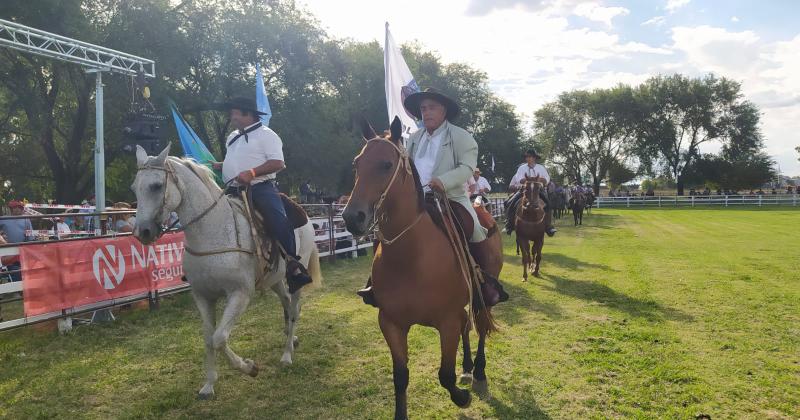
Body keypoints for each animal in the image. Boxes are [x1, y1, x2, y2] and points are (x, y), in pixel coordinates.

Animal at [132, 144, 322, 400]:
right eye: (134, 187)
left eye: (156, 186)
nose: (142, 231)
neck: (213, 232)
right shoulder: (202, 296)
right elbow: (208, 338)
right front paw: (209, 385)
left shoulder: (240, 294)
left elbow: (219, 338)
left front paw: (250, 367)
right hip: (274, 279)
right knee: (285, 303)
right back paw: (291, 340)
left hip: (295, 279)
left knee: (294, 310)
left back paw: (286, 355)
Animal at [344, 117, 500, 420]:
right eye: (356, 163)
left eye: (386, 164)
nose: (352, 217)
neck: (410, 258)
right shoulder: (391, 323)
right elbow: (400, 376)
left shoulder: (446, 322)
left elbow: (445, 375)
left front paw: (462, 398)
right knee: (468, 325)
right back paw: (467, 367)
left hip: (483, 296)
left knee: (481, 324)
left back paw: (478, 372)